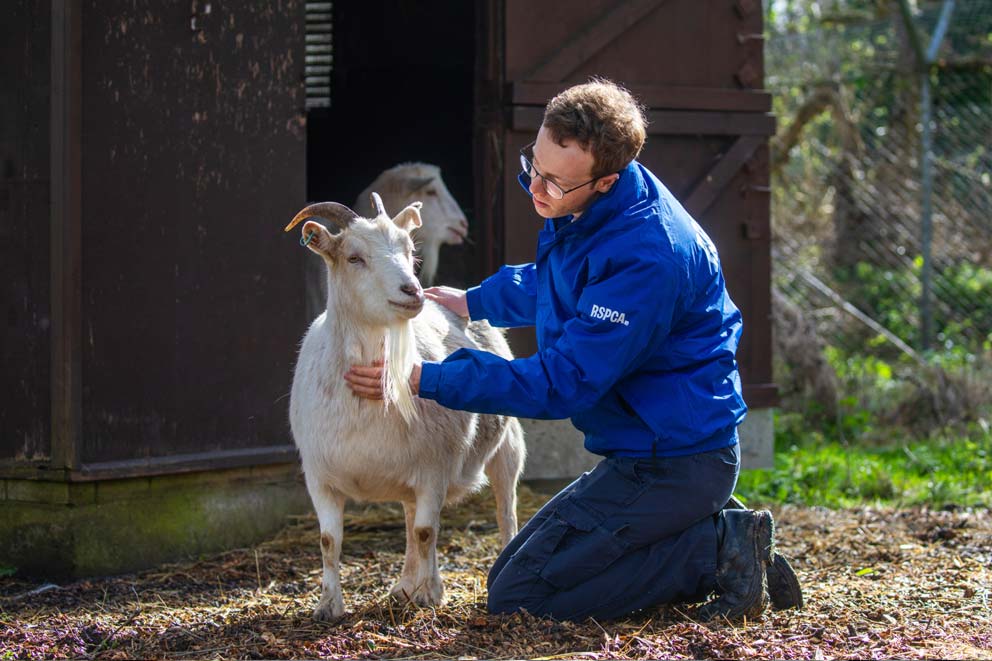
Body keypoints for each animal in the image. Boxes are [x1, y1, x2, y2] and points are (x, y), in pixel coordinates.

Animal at [285, 194, 525, 621]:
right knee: (413, 520)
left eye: (410, 250)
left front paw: (429, 596)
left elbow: (428, 532)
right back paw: (404, 587)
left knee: (503, 510)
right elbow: (329, 540)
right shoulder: (319, 476)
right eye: (354, 257)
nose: (412, 291)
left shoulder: (434, 469)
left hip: (508, 445)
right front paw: (328, 606)